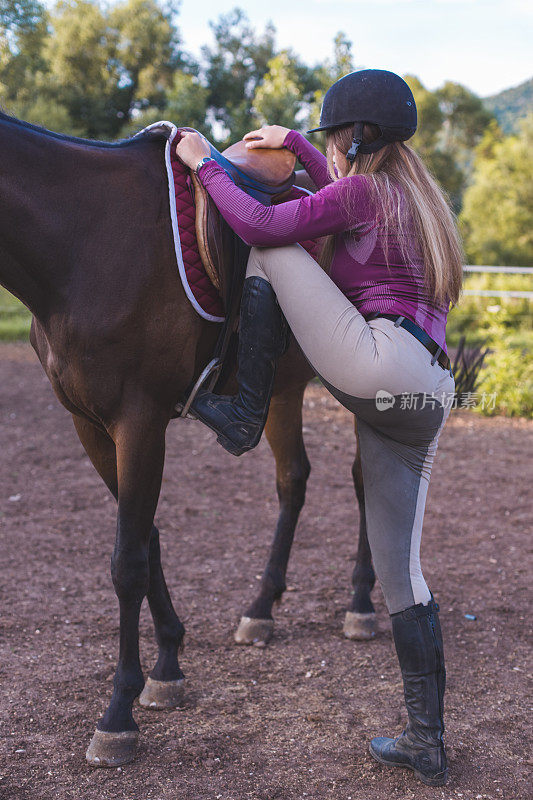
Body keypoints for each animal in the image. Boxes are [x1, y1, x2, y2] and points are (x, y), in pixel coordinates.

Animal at [0, 112, 374, 768]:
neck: (81, 243)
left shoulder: (140, 420)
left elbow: (126, 560)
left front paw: (118, 715)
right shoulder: (90, 425)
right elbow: (145, 539)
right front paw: (169, 665)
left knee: (366, 479)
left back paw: (361, 603)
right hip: (283, 388)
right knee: (293, 479)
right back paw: (261, 609)